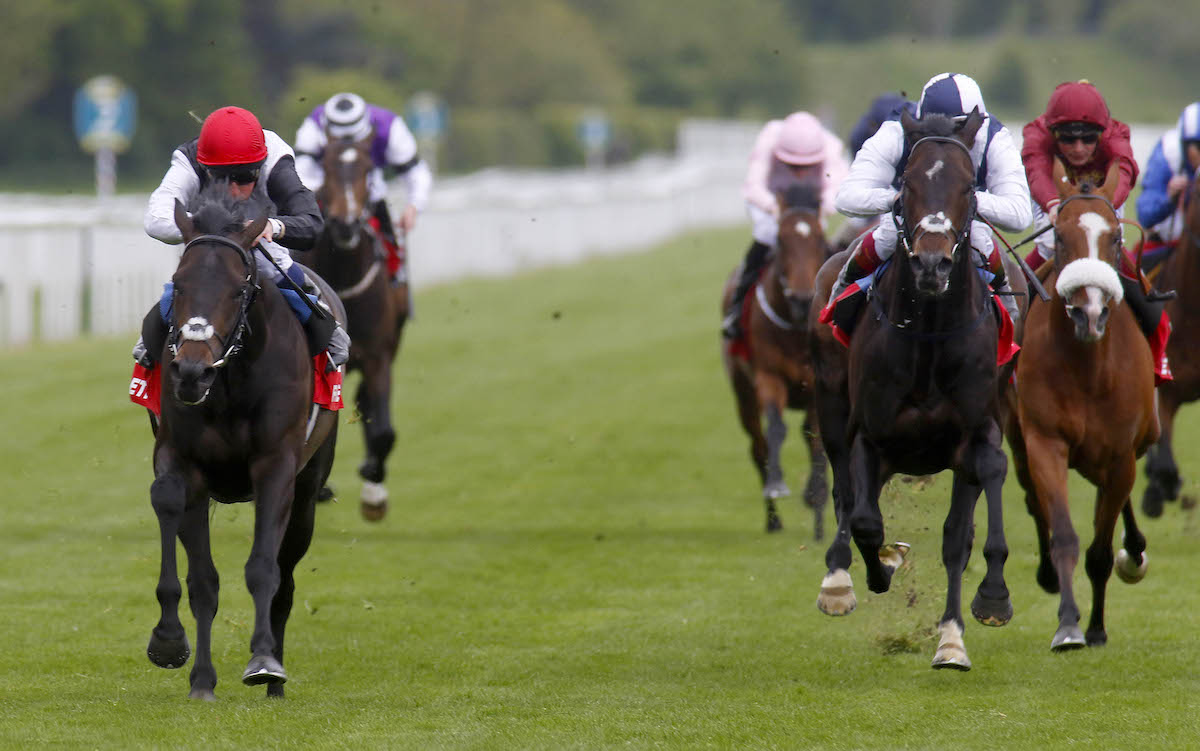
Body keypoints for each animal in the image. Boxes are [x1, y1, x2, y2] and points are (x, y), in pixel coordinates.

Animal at [145, 184, 345, 700]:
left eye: (239, 289)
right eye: (179, 282)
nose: (191, 372)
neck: (230, 380)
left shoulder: (276, 465)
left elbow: (262, 569)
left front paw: (263, 662)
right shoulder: (183, 459)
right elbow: (199, 576)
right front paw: (180, 654)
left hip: (308, 490)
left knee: (286, 579)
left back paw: (275, 678)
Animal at [309, 134, 408, 518]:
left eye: (368, 169)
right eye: (326, 166)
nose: (345, 224)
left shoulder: (378, 357)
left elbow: (384, 431)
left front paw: (372, 490)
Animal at [720, 183, 835, 535]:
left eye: (819, 238)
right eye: (781, 240)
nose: (802, 299)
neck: (795, 329)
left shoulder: (816, 384)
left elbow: (815, 437)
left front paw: (816, 494)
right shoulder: (768, 376)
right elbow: (775, 428)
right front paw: (777, 486)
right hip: (742, 392)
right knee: (757, 446)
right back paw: (773, 519)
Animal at [806, 109, 1012, 667]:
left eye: (967, 187)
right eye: (908, 184)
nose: (932, 263)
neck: (928, 336)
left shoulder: (978, 431)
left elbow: (964, 529)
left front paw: (976, 614)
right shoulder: (869, 435)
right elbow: (863, 520)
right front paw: (878, 567)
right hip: (832, 408)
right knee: (847, 494)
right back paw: (839, 578)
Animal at [1008, 158, 1156, 647]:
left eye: (1116, 238)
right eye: (1059, 237)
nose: (1089, 314)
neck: (1090, 369)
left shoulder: (1120, 455)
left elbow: (1100, 551)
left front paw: (1095, 627)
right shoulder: (1045, 442)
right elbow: (1066, 536)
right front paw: (1069, 625)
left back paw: (1135, 552)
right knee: (1032, 498)